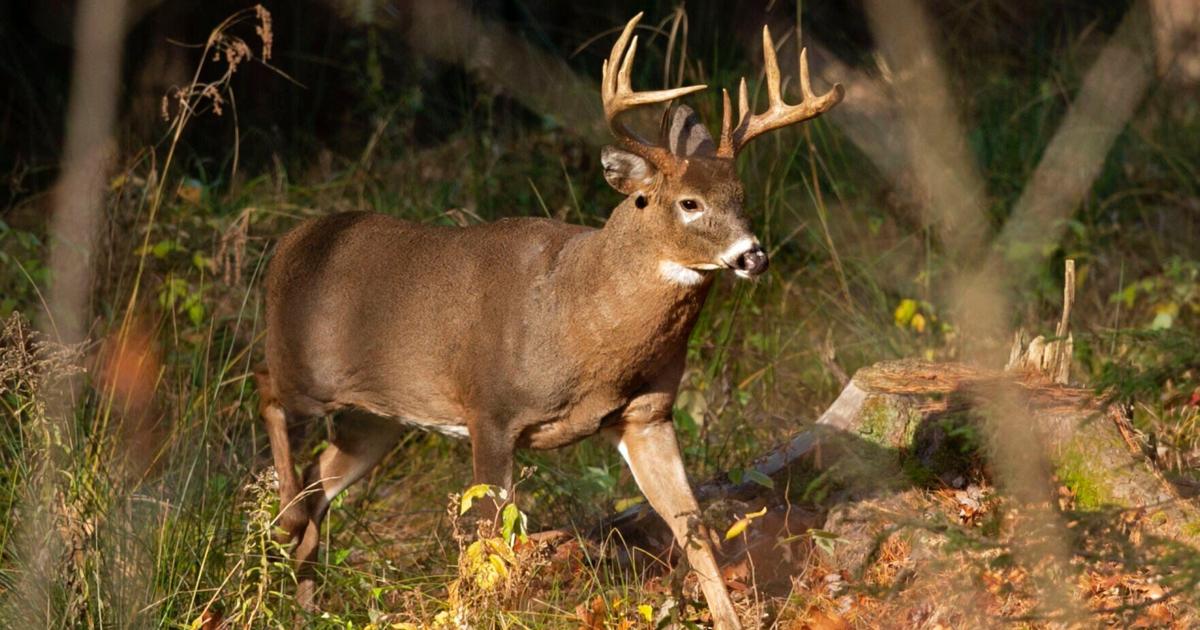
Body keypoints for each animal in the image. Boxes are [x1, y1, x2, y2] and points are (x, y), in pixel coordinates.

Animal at [256, 13, 841, 628]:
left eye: (741, 196)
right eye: (689, 202)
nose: (754, 256)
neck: (579, 323)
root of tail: (288, 244)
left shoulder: (647, 415)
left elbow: (693, 526)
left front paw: (728, 617)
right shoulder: (490, 409)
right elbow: (491, 542)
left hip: (378, 416)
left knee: (321, 479)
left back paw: (303, 600)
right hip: (305, 367)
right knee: (266, 389)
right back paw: (286, 529)